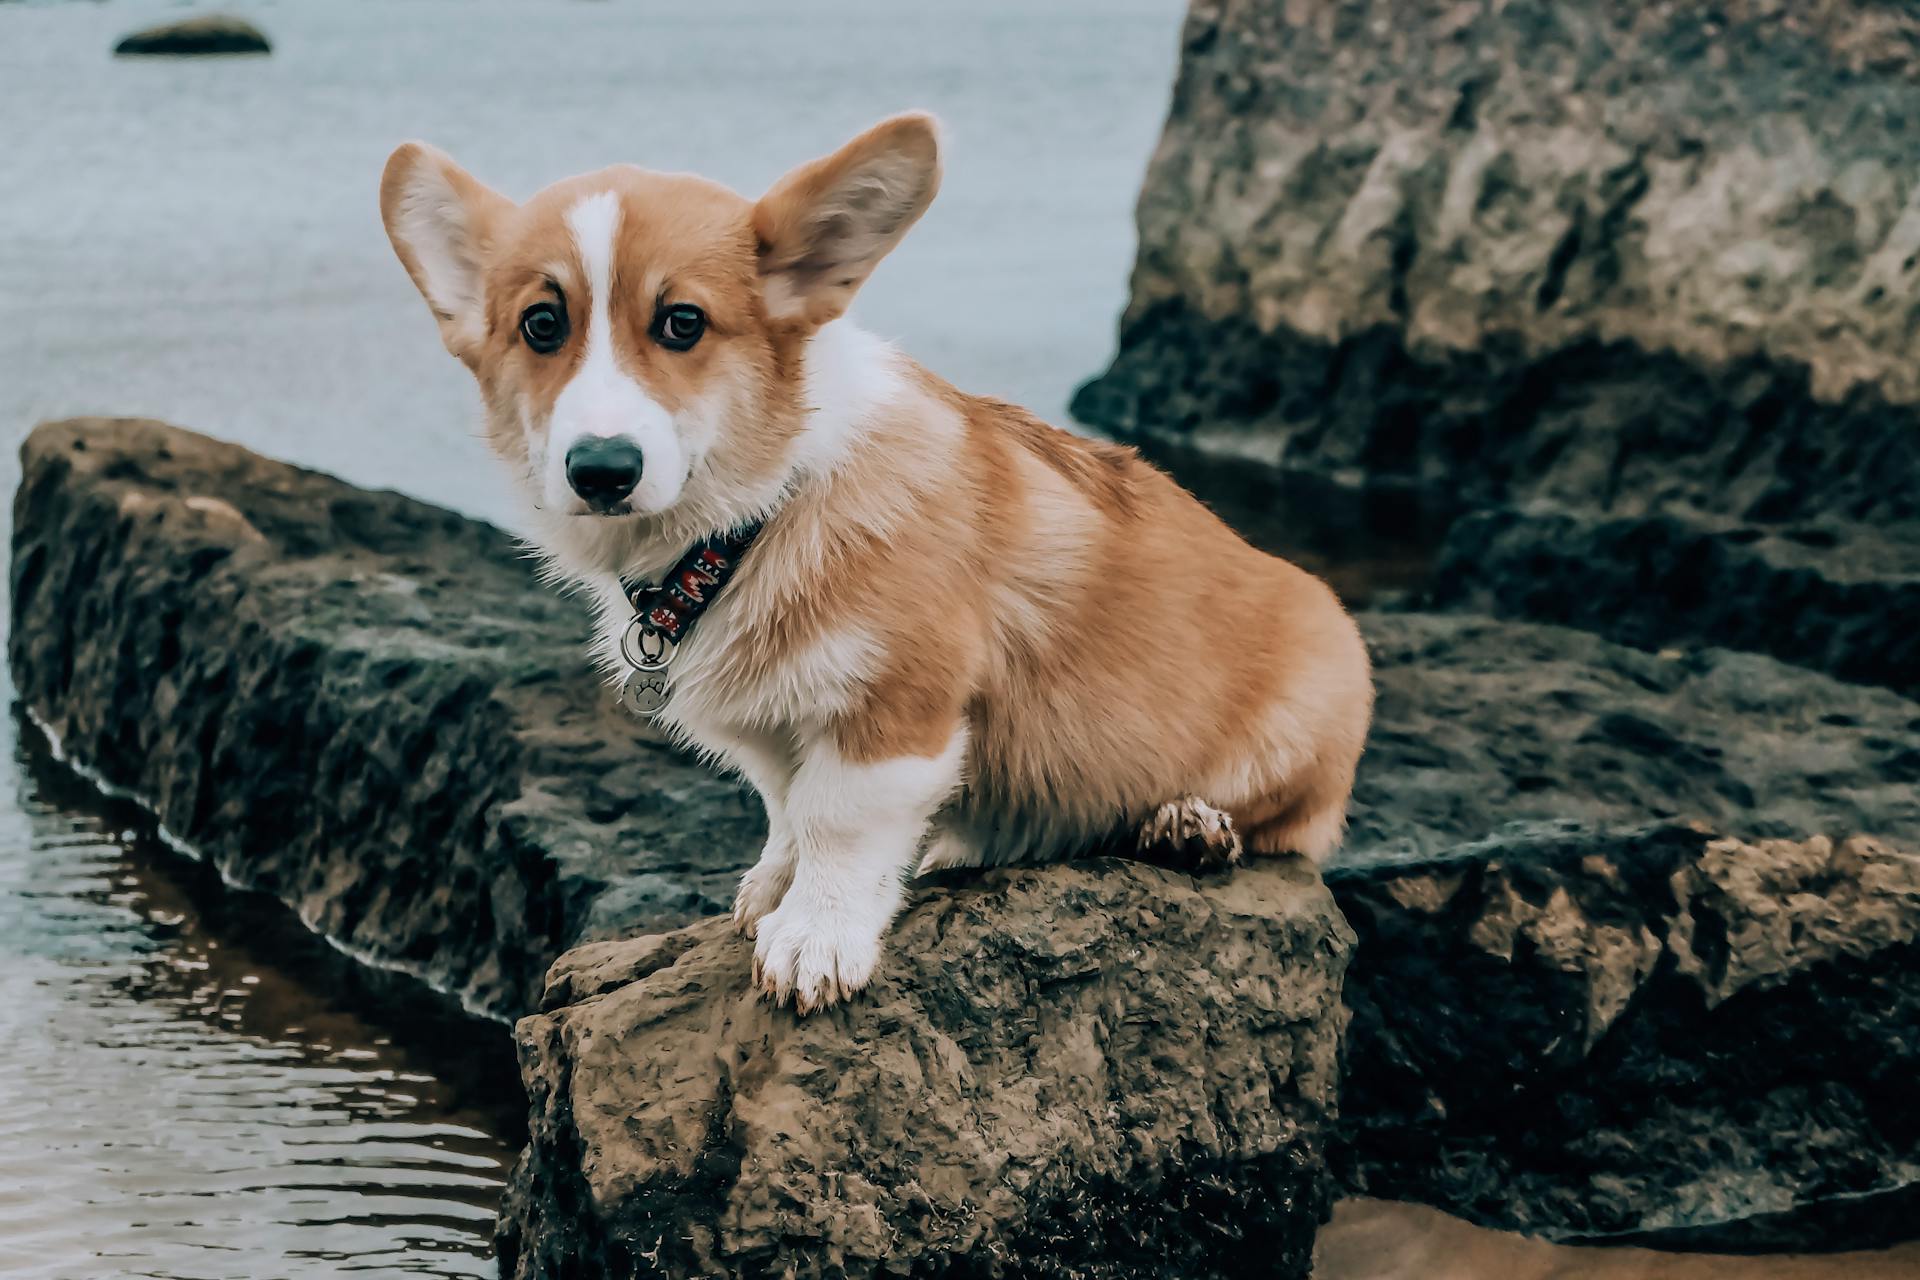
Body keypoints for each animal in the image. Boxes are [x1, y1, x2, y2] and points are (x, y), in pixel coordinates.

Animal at [374, 112, 1374, 1013]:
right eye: (542, 326)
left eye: (683, 323)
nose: (602, 470)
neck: (750, 523)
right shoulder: (776, 727)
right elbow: (788, 806)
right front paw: (773, 886)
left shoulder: (896, 711)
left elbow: (840, 822)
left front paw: (814, 939)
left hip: (1309, 706)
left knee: (1291, 824)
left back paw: (1188, 826)